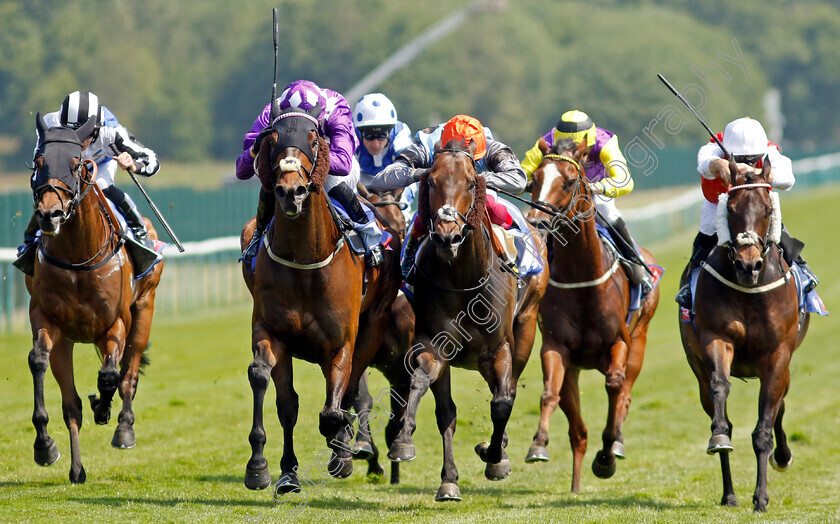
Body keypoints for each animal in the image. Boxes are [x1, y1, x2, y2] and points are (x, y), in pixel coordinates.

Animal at [25, 113, 164, 484]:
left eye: (77, 164)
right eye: (38, 161)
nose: (49, 215)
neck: (78, 257)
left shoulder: (117, 322)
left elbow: (110, 376)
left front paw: (104, 408)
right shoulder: (46, 319)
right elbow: (38, 361)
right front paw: (44, 446)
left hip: (144, 311)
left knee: (128, 375)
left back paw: (123, 427)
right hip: (69, 340)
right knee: (71, 404)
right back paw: (76, 469)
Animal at [241, 107, 402, 496]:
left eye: (314, 140)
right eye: (272, 139)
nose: (290, 191)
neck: (304, 259)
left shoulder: (341, 340)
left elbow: (333, 408)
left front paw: (342, 452)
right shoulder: (272, 332)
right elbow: (271, 388)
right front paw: (266, 468)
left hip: (373, 325)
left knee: (349, 391)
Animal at [388, 138, 552, 500]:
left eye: (471, 184)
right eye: (430, 182)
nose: (447, 236)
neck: (461, 280)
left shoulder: (499, 349)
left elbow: (502, 403)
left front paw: (494, 457)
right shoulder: (433, 344)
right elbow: (424, 388)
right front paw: (404, 441)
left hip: (526, 326)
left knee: (507, 391)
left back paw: (497, 449)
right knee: (447, 410)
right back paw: (449, 478)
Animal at [524, 137, 656, 494]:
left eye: (570, 181)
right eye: (533, 180)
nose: (537, 222)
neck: (582, 279)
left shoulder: (619, 343)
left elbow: (615, 385)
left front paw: (607, 455)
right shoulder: (556, 349)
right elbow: (549, 394)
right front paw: (538, 444)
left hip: (640, 339)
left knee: (625, 394)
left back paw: (616, 444)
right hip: (575, 369)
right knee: (578, 432)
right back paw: (575, 485)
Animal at [680, 157, 812, 512]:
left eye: (767, 208)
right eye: (731, 208)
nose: (747, 265)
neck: (750, 290)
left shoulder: (777, 355)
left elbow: (764, 427)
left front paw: (761, 497)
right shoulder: (716, 338)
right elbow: (720, 394)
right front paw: (720, 438)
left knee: (780, 405)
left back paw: (782, 455)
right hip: (696, 370)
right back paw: (728, 493)